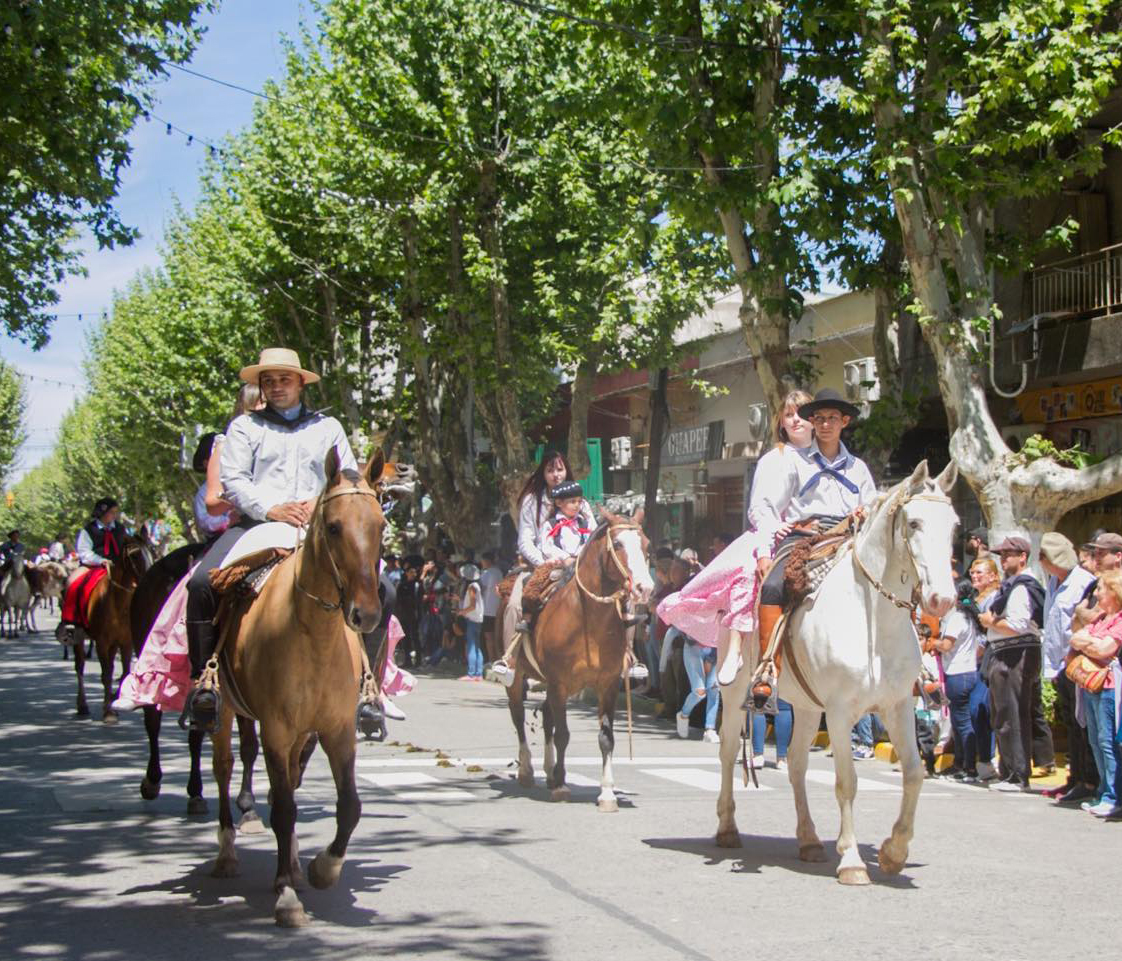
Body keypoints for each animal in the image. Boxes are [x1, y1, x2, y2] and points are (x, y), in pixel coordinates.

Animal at [70, 540, 153, 717]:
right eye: (134, 555)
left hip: (114, 644)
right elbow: (106, 675)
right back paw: (82, 705)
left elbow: (124, 672)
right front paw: (108, 713)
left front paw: (115, 700)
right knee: (80, 666)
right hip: (78, 638)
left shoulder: (126, 642)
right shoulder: (101, 642)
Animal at [130, 542, 261, 820]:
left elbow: (248, 745)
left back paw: (195, 792)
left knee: (194, 734)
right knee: (153, 722)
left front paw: (246, 803)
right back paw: (153, 781)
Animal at [209, 450, 385, 928]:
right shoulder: (275, 728)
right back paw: (228, 853)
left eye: (381, 525)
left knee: (283, 781)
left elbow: (350, 806)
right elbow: (285, 808)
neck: (312, 634)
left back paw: (290, 865)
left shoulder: (338, 730)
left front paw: (323, 868)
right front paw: (287, 896)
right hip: (225, 711)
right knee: (224, 768)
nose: (365, 614)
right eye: (334, 527)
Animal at [504, 509, 655, 811]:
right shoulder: (559, 683)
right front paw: (562, 787)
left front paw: (607, 793)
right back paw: (527, 770)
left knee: (546, 716)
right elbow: (563, 734)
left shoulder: (607, 684)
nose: (645, 588)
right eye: (617, 544)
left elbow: (606, 738)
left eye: (646, 544)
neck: (588, 622)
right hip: (517, 677)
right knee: (518, 716)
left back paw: (550, 772)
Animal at [718, 457, 955, 883]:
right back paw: (727, 829)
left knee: (796, 763)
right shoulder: (842, 711)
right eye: (914, 523)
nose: (941, 600)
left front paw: (894, 852)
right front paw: (852, 862)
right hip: (734, 694)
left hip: (808, 706)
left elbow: (914, 773)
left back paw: (810, 841)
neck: (874, 622)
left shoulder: (897, 707)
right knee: (728, 752)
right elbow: (847, 782)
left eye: (955, 526)